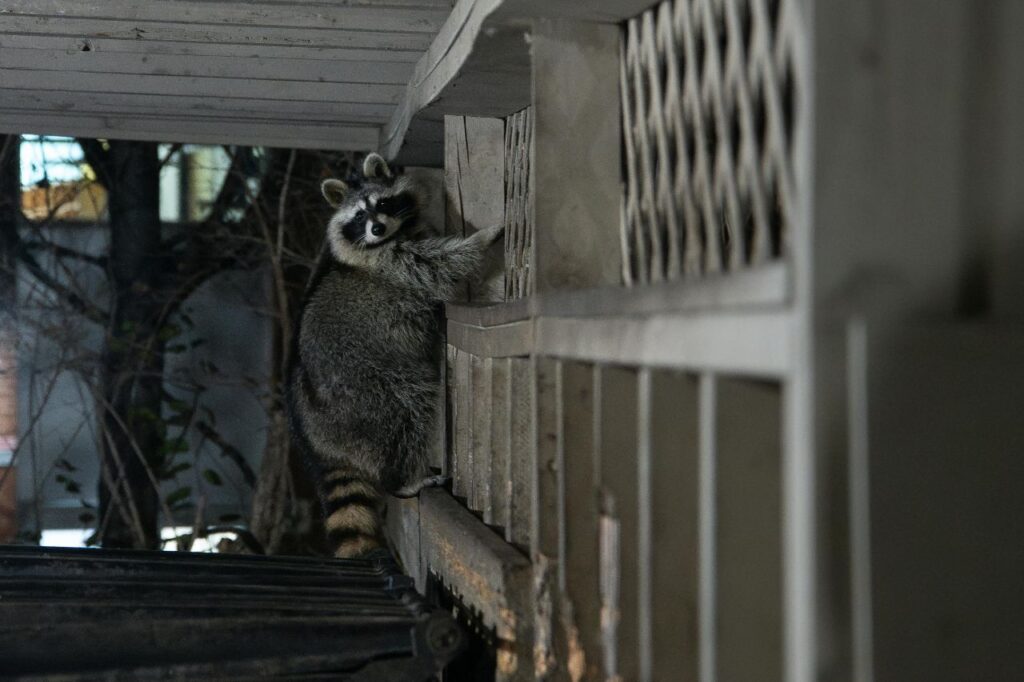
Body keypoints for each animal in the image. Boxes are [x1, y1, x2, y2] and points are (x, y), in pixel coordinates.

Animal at [287, 153, 503, 558]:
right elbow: (440, 266)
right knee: (407, 412)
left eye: (383, 204)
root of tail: (318, 441)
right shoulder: (394, 264)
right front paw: (482, 239)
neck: (393, 236)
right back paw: (402, 479)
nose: (376, 227)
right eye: (358, 217)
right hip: (368, 392)